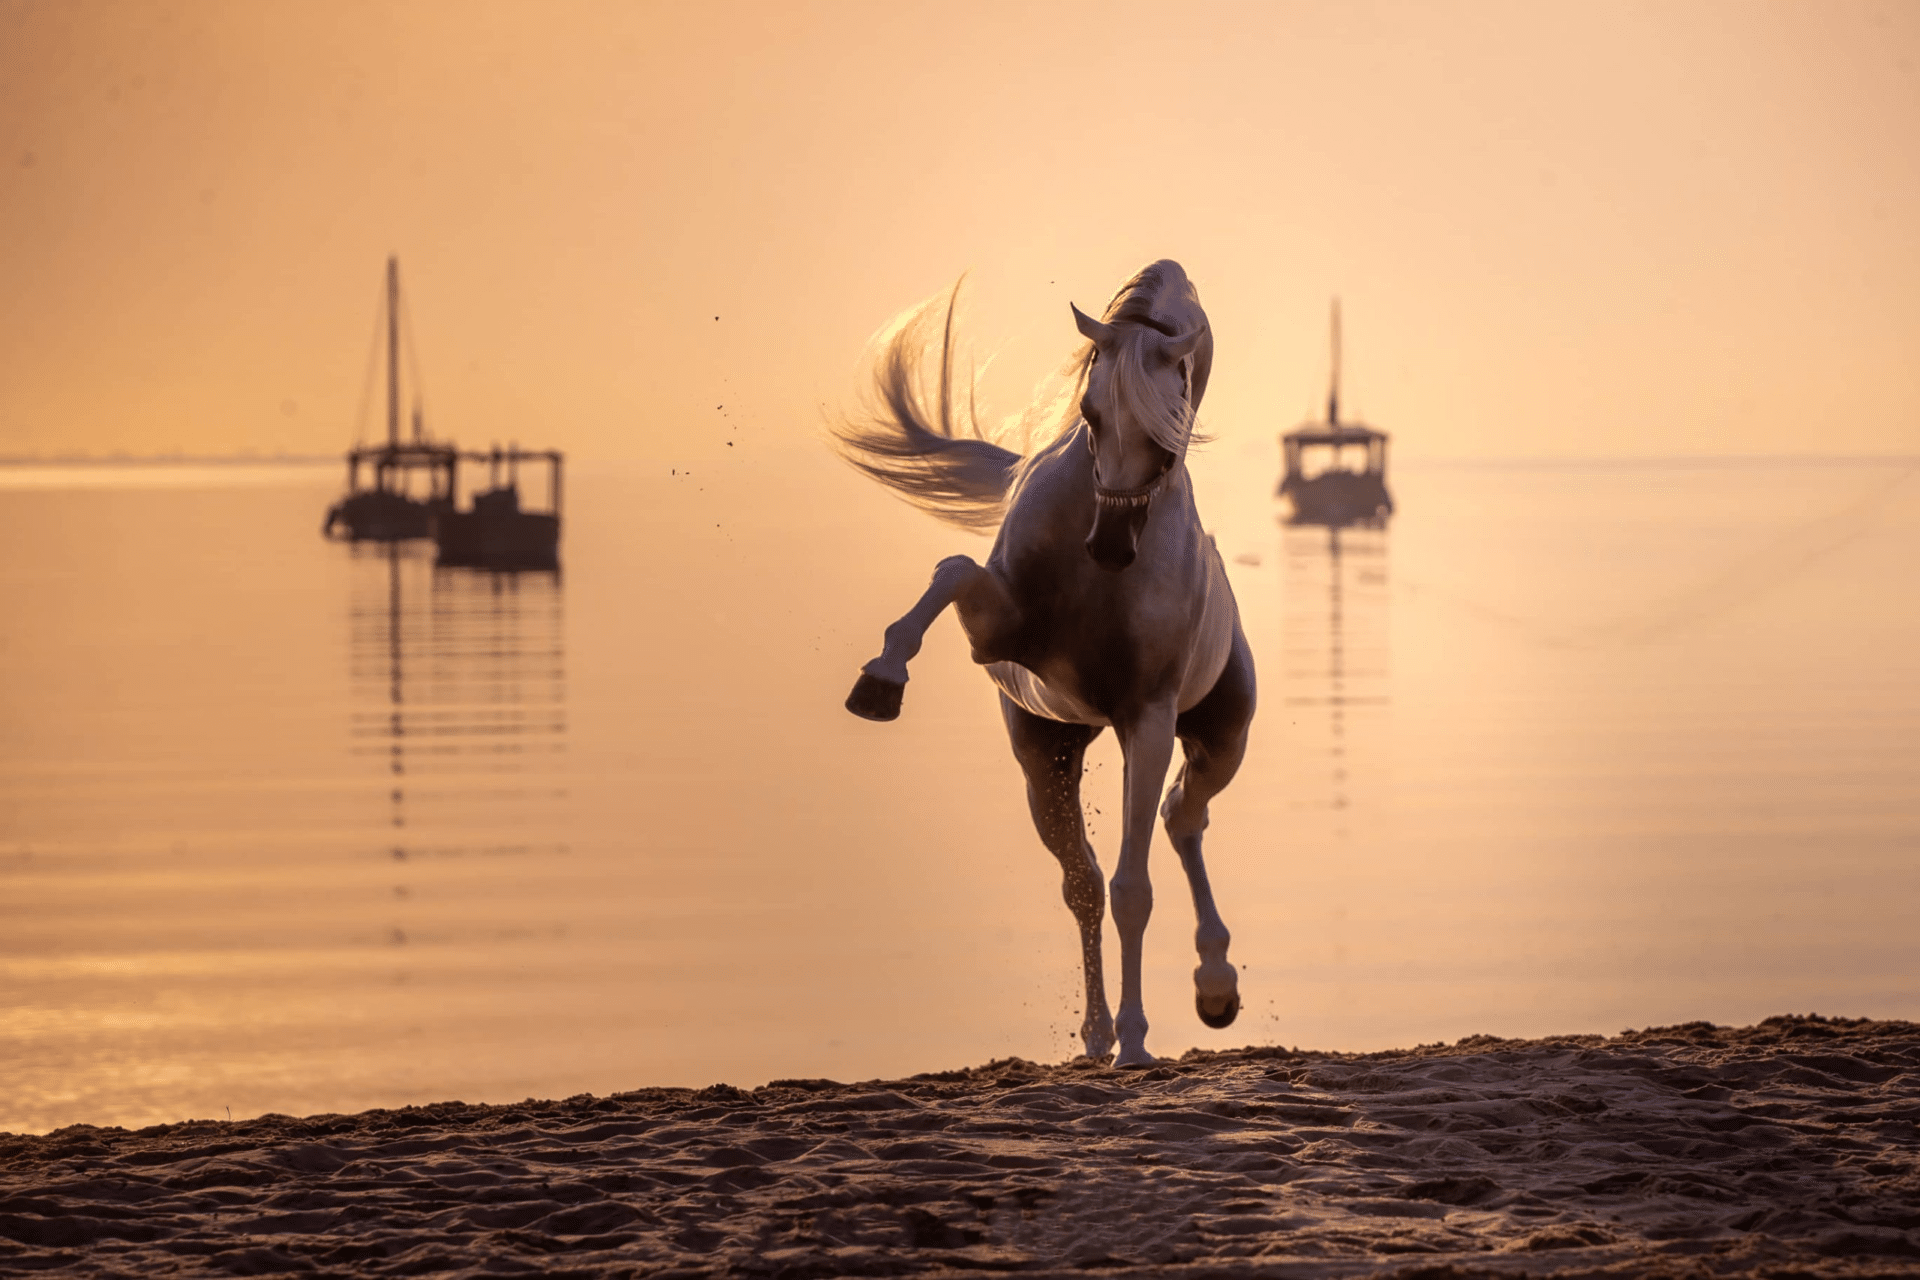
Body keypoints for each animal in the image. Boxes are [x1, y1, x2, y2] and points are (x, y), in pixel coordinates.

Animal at [834, 260, 1254, 1067]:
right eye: (1089, 410)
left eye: (1171, 417)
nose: (1112, 546)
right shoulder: (1002, 639)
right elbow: (953, 571)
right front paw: (879, 679)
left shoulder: (1146, 718)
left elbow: (1135, 889)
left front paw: (1138, 1044)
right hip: (1045, 753)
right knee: (1084, 880)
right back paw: (1097, 1034)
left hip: (1222, 737)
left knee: (1180, 820)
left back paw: (1212, 988)